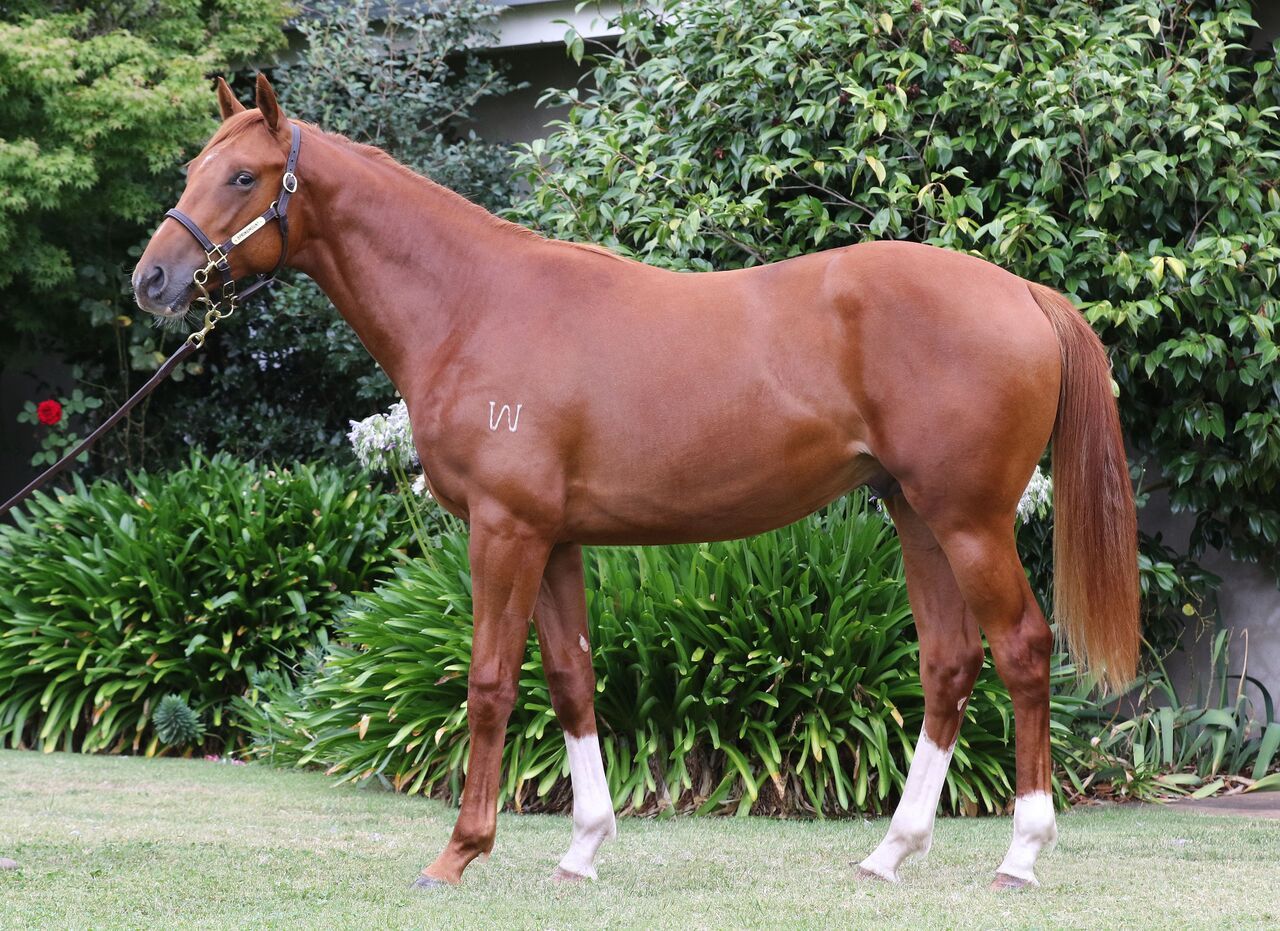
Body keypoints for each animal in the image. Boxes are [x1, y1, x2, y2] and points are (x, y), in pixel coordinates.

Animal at [134, 74, 1139, 891]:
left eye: (243, 178)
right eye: (193, 167)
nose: (154, 279)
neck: (472, 303)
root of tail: (1022, 292)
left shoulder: (503, 530)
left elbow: (490, 681)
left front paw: (458, 852)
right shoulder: (554, 538)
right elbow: (572, 678)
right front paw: (583, 846)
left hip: (969, 520)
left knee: (1023, 651)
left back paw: (1020, 857)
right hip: (916, 514)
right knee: (949, 663)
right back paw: (889, 852)